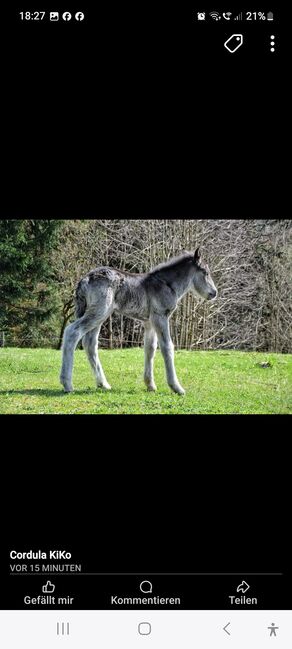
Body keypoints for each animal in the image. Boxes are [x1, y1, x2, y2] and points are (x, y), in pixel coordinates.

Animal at [59, 248, 217, 392]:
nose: (214, 293)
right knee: (72, 332)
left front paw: (150, 385)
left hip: (99, 315)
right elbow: (167, 347)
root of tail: (84, 280)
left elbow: (150, 349)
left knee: (90, 343)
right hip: (99, 312)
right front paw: (176, 387)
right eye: (205, 272)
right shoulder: (160, 317)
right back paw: (67, 384)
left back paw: (103, 384)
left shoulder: (149, 322)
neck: (167, 284)